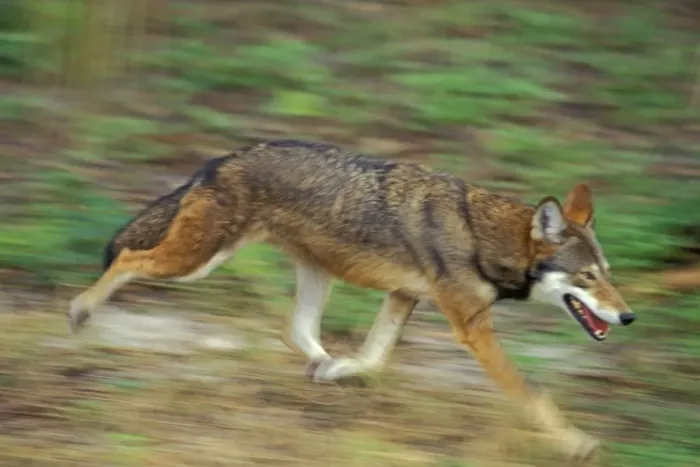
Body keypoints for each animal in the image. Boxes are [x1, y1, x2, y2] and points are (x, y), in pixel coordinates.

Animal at [68, 139, 636, 461]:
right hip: (194, 263)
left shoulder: (402, 298)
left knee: (297, 332)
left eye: (608, 275)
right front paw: (576, 443)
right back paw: (80, 311)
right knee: (127, 258)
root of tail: (220, 159)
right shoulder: (470, 326)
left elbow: (375, 357)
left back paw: (324, 369)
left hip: (311, 273)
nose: (628, 316)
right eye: (587, 278)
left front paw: (345, 371)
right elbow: (532, 395)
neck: (482, 236)